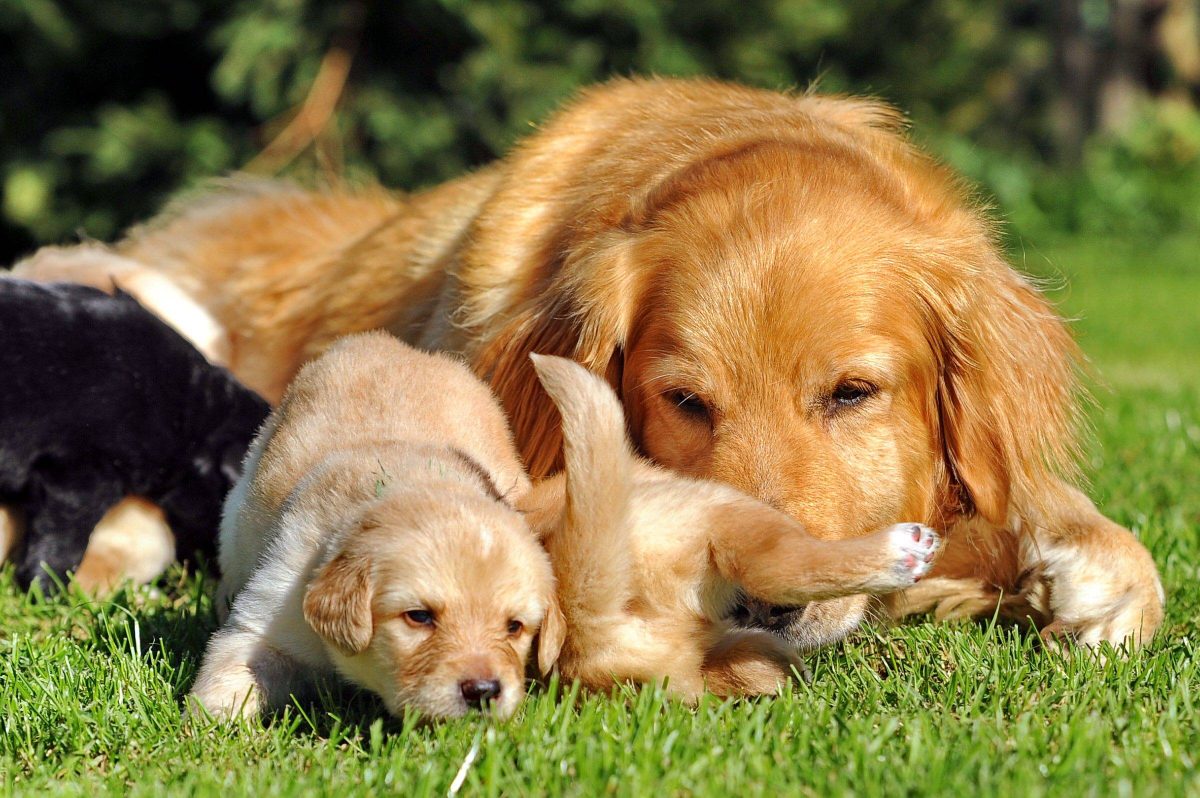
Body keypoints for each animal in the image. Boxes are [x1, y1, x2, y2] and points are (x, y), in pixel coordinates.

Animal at [187, 333, 561, 720]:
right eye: (419, 617)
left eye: (514, 626)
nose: (483, 691)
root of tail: (393, 344)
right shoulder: (271, 615)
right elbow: (229, 678)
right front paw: (205, 725)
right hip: (235, 517)